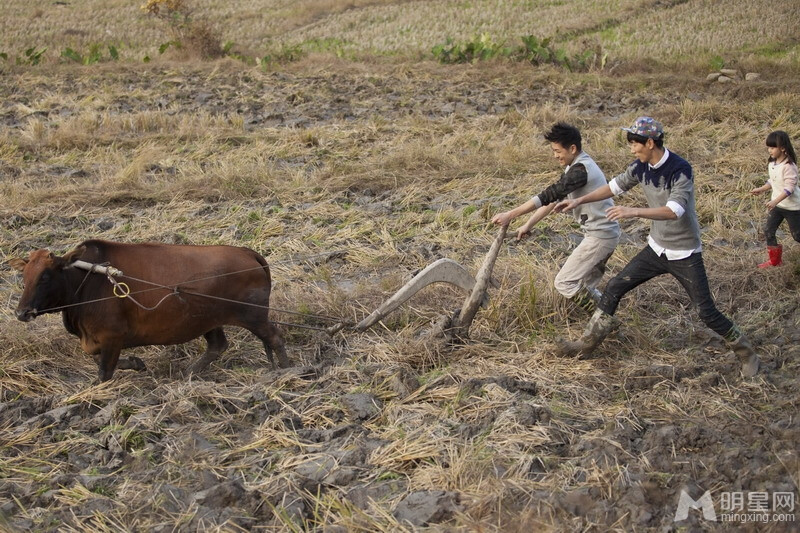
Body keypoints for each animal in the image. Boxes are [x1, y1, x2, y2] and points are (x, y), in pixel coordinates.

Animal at [10, 239, 290, 380]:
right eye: (24, 276)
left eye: (45, 277)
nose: (22, 313)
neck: (85, 280)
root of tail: (247, 252)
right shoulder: (100, 340)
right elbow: (98, 357)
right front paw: (136, 363)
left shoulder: (112, 335)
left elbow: (104, 371)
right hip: (209, 320)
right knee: (217, 346)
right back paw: (187, 373)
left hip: (253, 316)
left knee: (275, 336)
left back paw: (288, 369)